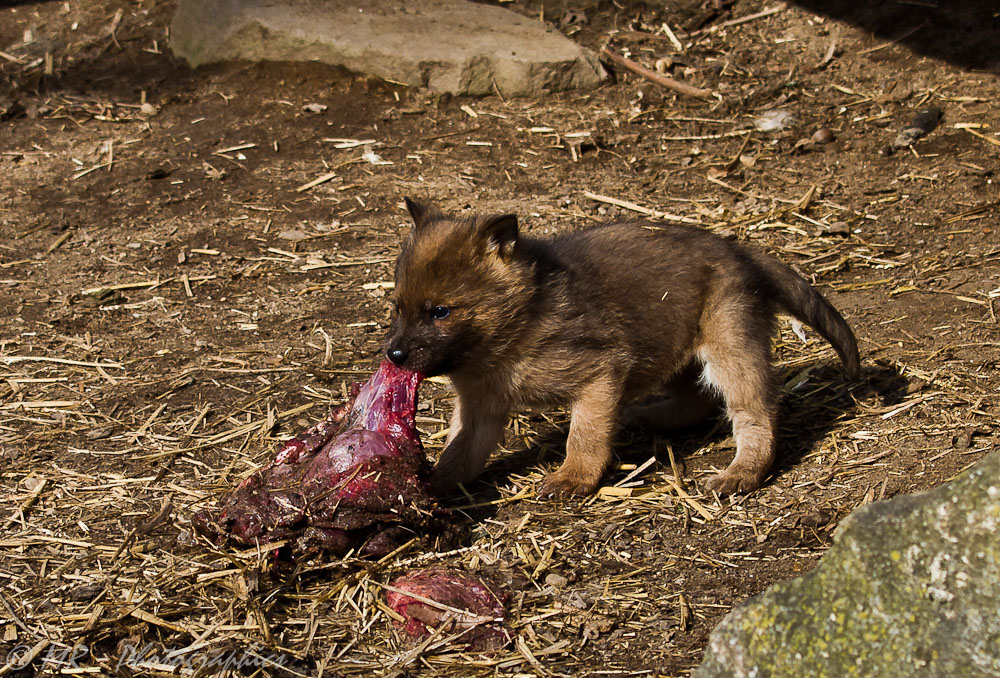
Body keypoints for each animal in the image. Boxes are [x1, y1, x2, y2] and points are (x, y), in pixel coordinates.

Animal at [384, 199, 860, 496]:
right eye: (397, 306)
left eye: (440, 311)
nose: (393, 355)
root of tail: (742, 253)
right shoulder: (480, 410)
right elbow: (458, 455)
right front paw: (425, 490)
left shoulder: (599, 376)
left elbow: (585, 436)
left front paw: (574, 478)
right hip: (681, 349)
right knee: (695, 402)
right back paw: (647, 416)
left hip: (730, 347)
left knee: (755, 415)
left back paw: (740, 473)